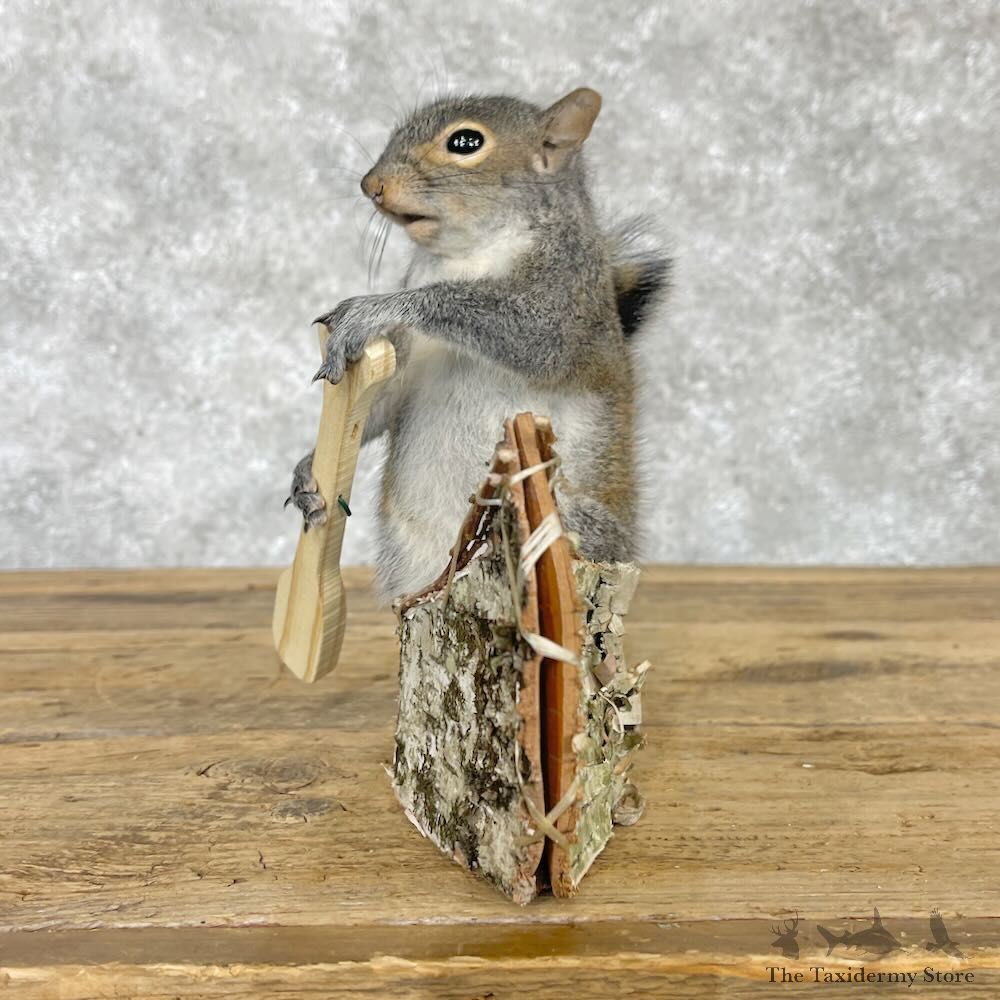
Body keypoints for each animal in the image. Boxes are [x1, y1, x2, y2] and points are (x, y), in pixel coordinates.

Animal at [287, 87, 670, 602]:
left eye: (465, 142)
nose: (372, 185)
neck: (470, 253)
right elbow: (383, 400)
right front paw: (308, 469)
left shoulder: (570, 299)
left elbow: (537, 337)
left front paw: (372, 309)